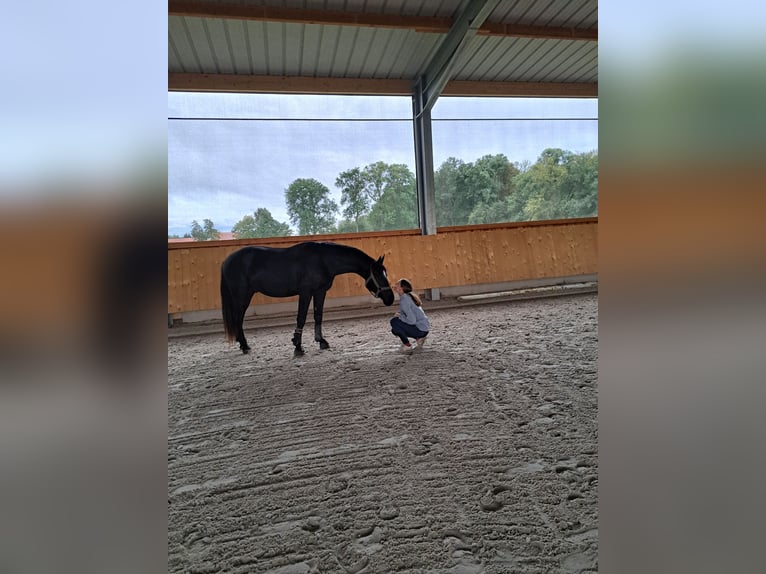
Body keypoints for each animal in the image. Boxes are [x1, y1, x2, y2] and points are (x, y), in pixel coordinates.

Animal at [219, 238, 392, 356]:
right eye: (378, 275)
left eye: (386, 273)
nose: (390, 298)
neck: (322, 259)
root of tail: (227, 261)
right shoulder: (306, 292)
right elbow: (301, 317)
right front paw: (298, 346)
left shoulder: (320, 291)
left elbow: (318, 315)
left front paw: (321, 341)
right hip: (242, 296)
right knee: (238, 318)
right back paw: (245, 346)